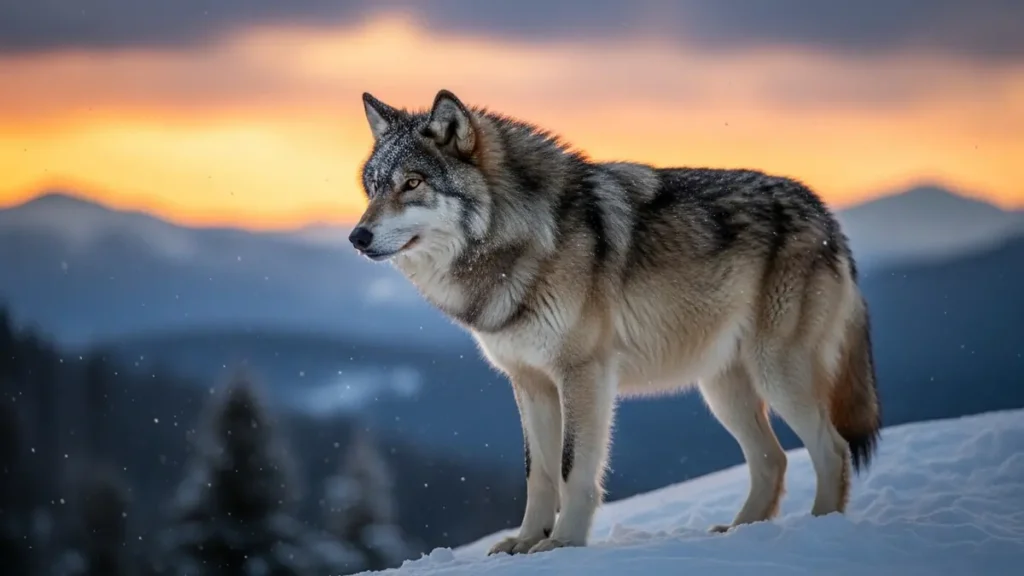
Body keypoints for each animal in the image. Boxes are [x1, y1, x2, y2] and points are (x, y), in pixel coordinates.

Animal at [348, 89, 881, 555]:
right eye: (372, 188)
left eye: (412, 183)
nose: (357, 236)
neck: (519, 239)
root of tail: (825, 213)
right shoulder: (530, 383)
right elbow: (538, 473)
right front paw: (526, 543)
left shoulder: (583, 375)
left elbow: (571, 468)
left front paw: (563, 543)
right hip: (722, 389)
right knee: (773, 459)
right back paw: (739, 532)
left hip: (777, 374)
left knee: (831, 449)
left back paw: (819, 528)